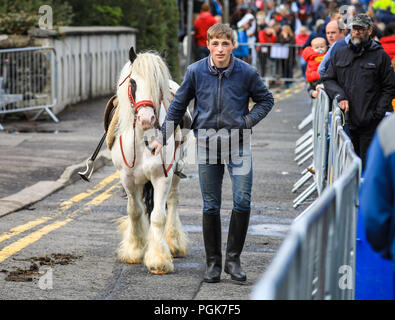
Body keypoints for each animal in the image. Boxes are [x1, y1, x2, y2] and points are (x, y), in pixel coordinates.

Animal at [110, 48, 193, 274]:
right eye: (133, 83)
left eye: (157, 84)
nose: (146, 119)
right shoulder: (128, 179)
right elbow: (135, 211)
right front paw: (135, 249)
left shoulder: (162, 177)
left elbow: (158, 216)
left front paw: (158, 258)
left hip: (175, 174)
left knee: (172, 201)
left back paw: (174, 242)